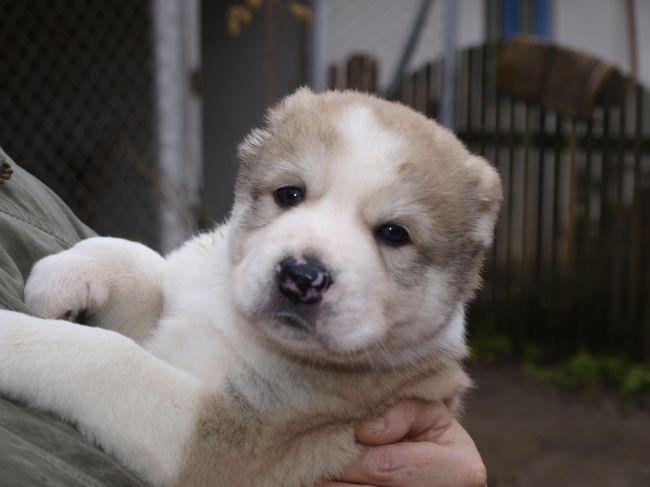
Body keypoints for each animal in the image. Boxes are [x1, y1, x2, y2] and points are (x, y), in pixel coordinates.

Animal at [0, 88, 502, 487]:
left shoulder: (224, 440)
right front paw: (67, 270)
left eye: (395, 234)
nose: (302, 277)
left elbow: (112, 359)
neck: (235, 317)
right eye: (289, 194)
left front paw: (12, 337)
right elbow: (143, 265)